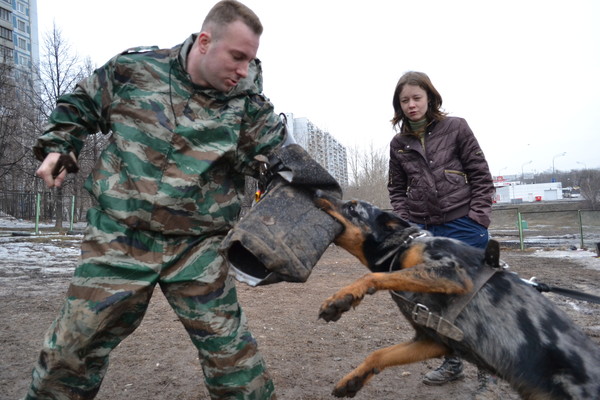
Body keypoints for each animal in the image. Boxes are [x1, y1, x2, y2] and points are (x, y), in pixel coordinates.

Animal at [314, 191, 600, 400]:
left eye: (353, 208)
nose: (317, 191)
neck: (401, 248)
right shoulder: (432, 340)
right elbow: (378, 355)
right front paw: (352, 380)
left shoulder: (452, 273)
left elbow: (372, 277)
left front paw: (341, 298)